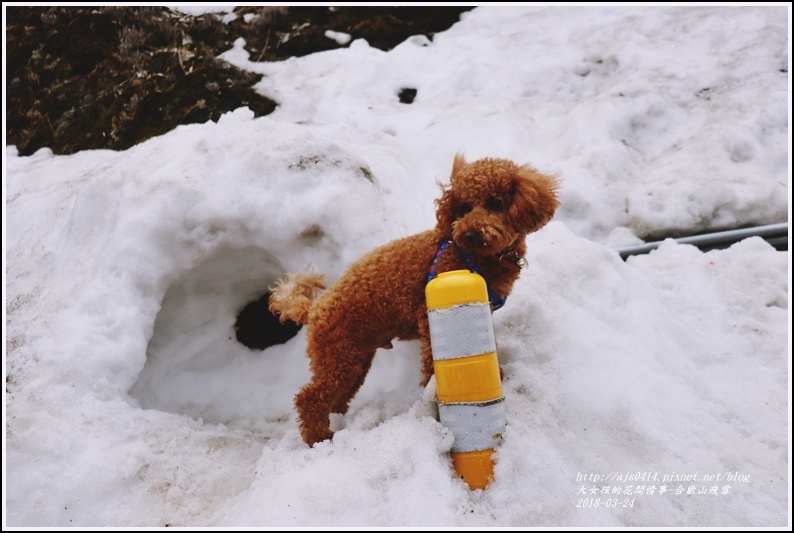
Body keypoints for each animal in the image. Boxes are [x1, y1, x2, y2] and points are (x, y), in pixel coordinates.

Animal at [270, 154, 560, 444]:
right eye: (464, 206)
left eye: (495, 203)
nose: (468, 234)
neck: (475, 257)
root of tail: (314, 308)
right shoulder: (427, 314)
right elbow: (433, 359)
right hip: (338, 357)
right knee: (309, 398)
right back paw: (319, 438)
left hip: (355, 359)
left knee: (337, 398)